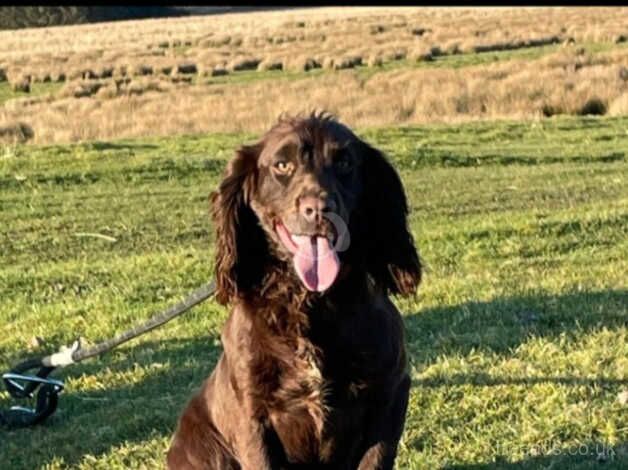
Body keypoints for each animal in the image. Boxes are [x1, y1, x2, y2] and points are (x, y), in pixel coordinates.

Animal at [167, 112, 422, 468]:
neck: (312, 302)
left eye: (344, 162)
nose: (318, 209)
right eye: (282, 165)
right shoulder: (252, 415)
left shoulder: (390, 394)